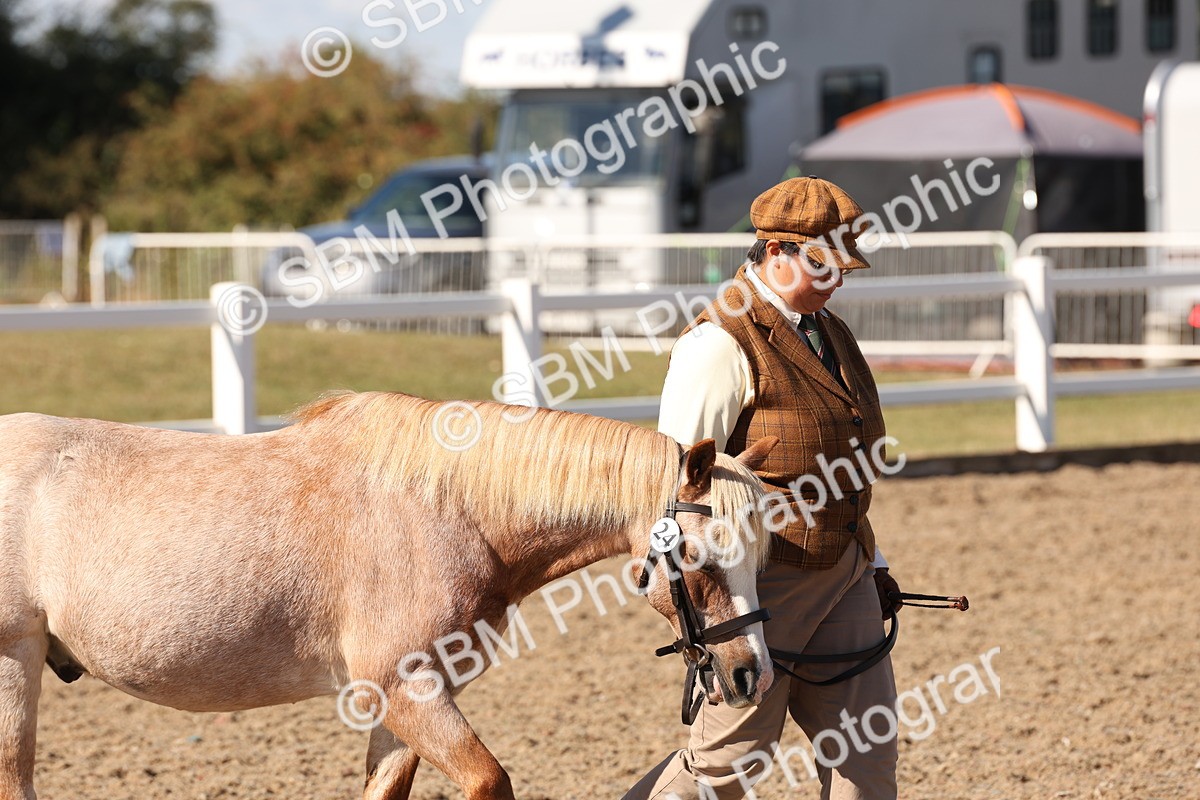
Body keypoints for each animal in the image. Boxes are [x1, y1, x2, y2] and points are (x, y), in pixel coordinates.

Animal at [0, 390, 778, 799]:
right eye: (699, 557)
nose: (751, 674)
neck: (448, 511)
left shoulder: (407, 701)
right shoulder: (408, 692)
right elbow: (490, 780)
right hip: (13, 666)